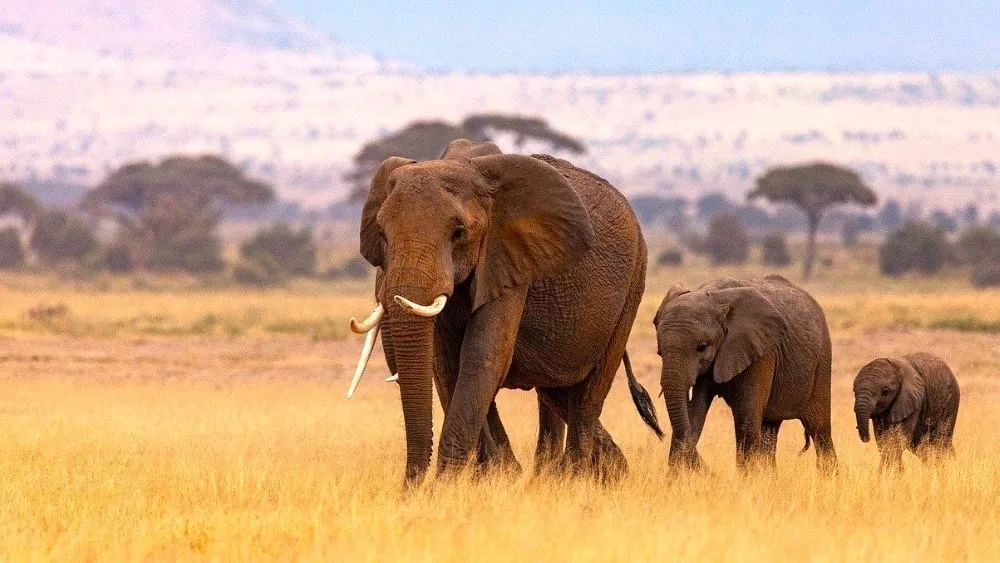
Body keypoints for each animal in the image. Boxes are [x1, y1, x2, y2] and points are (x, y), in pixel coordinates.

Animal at [347, 139, 661, 485]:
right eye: (382, 234)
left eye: (458, 233)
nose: (409, 489)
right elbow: (446, 364)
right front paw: (493, 477)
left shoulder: (510, 259)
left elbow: (483, 356)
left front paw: (449, 486)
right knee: (556, 391)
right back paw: (596, 472)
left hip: (634, 282)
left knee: (588, 394)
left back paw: (574, 479)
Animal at [652, 275, 837, 472]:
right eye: (660, 351)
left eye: (701, 347)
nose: (712, 472)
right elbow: (694, 413)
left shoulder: (761, 352)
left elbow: (746, 417)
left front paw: (748, 478)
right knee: (770, 430)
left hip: (822, 359)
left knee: (819, 428)